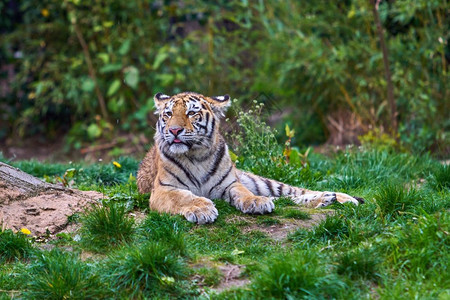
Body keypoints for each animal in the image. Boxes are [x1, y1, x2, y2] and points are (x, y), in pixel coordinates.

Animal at [136, 92, 362, 224]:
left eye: (191, 113)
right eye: (168, 114)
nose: (174, 130)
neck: (196, 154)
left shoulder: (230, 183)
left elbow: (243, 193)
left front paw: (256, 202)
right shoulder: (164, 190)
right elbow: (184, 197)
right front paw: (202, 209)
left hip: (261, 181)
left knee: (295, 192)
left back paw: (341, 198)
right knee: (289, 198)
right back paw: (327, 200)